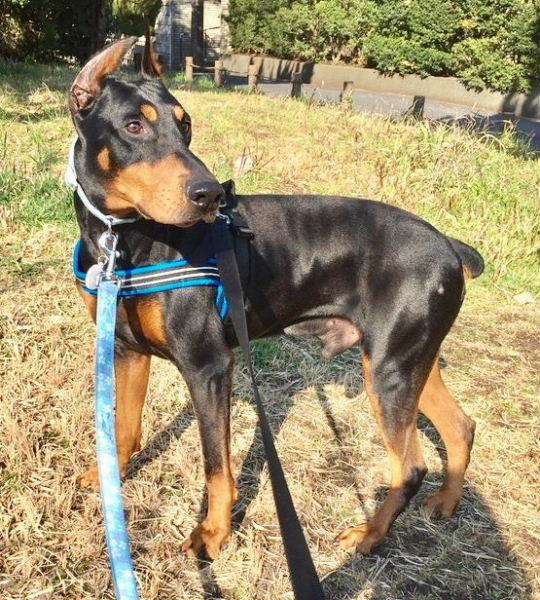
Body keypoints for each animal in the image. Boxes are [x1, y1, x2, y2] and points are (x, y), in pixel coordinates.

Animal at [70, 37, 482, 560]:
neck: (125, 240)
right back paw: (446, 501)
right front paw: (110, 480)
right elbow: (124, 428)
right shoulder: (127, 350)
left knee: (409, 466)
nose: (208, 195)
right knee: (460, 426)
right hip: (410, 360)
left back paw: (368, 536)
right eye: (133, 125)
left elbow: (217, 465)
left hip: (389, 369)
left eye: (185, 125)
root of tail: (449, 245)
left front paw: (214, 534)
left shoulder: (208, 367)